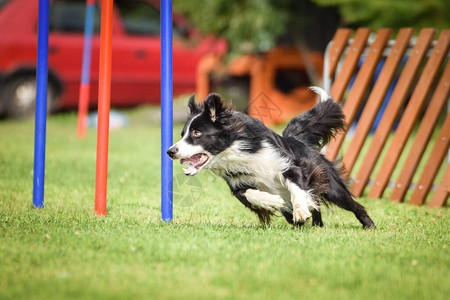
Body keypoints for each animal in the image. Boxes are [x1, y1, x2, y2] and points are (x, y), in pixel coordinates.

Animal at [167, 88, 374, 229]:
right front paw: (273, 201)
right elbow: (249, 193)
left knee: (351, 204)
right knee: (312, 206)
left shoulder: (288, 164)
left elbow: (295, 186)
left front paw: (299, 209)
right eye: (183, 134)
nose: (170, 152)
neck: (234, 149)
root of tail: (297, 140)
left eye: (197, 133)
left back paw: (369, 225)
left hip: (329, 184)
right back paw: (314, 225)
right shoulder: (236, 183)